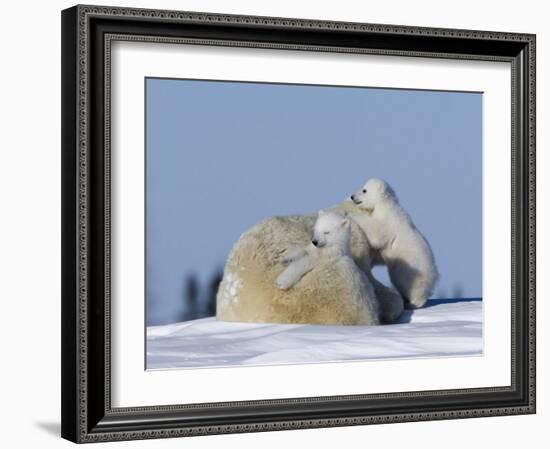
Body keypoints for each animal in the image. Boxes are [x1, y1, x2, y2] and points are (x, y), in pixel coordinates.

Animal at [354, 178, 440, 308]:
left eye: (364, 190)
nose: (352, 196)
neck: (386, 205)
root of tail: (435, 277)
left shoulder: (389, 222)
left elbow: (376, 233)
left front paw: (352, 216)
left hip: (413, 271)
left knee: (412, 286)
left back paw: (413, 303)